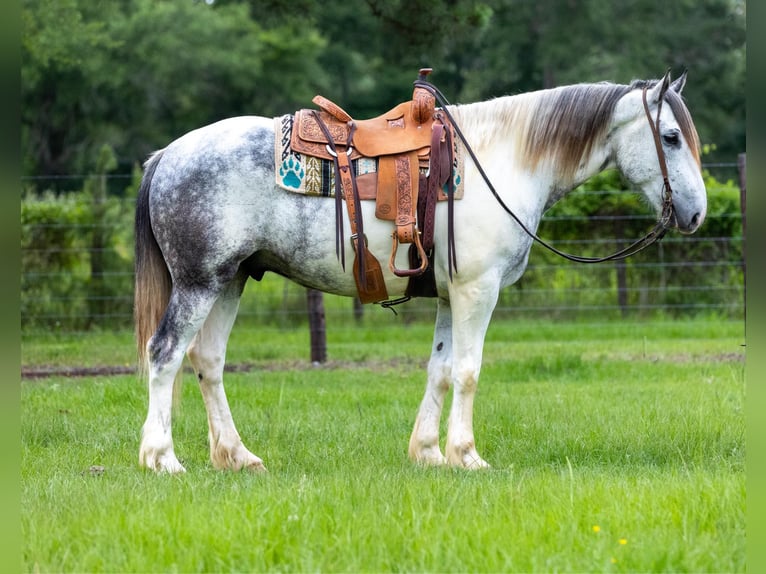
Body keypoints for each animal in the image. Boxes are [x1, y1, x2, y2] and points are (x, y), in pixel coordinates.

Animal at [134, 70, 706, 474]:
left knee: (208, 361)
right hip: (198, 284)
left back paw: (237, 456)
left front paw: (429, 451)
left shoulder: (452, 296)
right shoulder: (478, 291)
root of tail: (167, 155)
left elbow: (440, 368)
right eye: (671, 137)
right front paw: (467, 455)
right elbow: (468, 370)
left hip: (229, 281)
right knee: (164, 354)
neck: (503, 162)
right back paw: (163, 458)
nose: (697, 213)